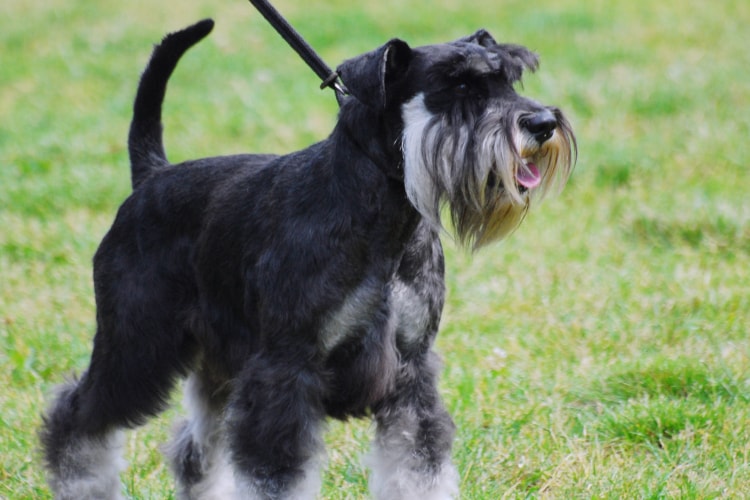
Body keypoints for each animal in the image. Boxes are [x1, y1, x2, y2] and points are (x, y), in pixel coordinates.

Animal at [39, 19, 576, 500]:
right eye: (460, 85)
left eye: (510, 79)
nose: (543, 123)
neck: (381, 213)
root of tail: (152, 175)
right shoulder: (285, 372)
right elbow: (275, 479)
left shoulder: (411, 372)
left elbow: (419, 469)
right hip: (137, 345)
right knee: (76, 419)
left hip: (217, 362)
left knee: (195, 450)